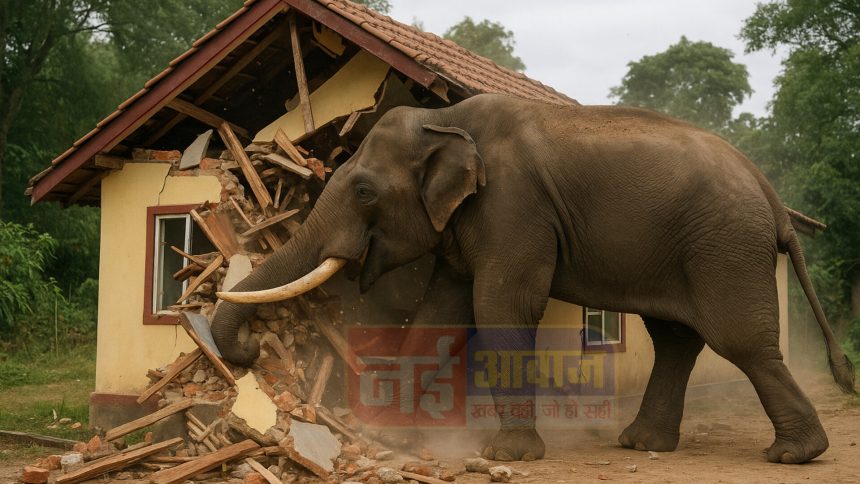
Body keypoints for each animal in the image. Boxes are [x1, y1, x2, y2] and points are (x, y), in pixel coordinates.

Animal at [211, 93, 855, 464]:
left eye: (365, 191)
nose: (250, 349)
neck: (447, 122)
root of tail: (772, 195)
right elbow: (440, 314)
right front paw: (389, 439)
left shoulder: (515, 207)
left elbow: (502, 308)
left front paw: (510, 457)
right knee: (675, 338)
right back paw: (642, 445)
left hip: (724, 245)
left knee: (738, 341)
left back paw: (795, 455)